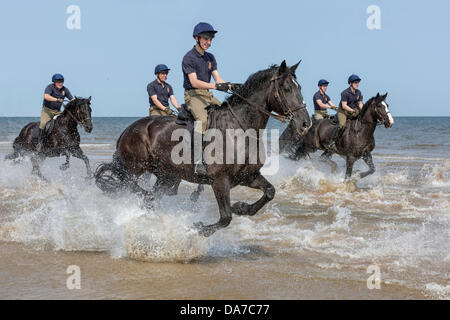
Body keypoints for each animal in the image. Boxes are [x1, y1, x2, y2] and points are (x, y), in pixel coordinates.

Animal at [94, 60, 312, 235]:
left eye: (300, 87)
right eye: (286, 89)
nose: (305, 123)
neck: (240, 129)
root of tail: (128, 129)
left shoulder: (248, 176)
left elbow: (269, 192)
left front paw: (242, 207)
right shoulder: (220, 181)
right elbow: (226, 217)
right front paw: (200, 228)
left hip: (166, 176)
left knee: (151, 193)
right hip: (134, 168)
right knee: (130, 186)